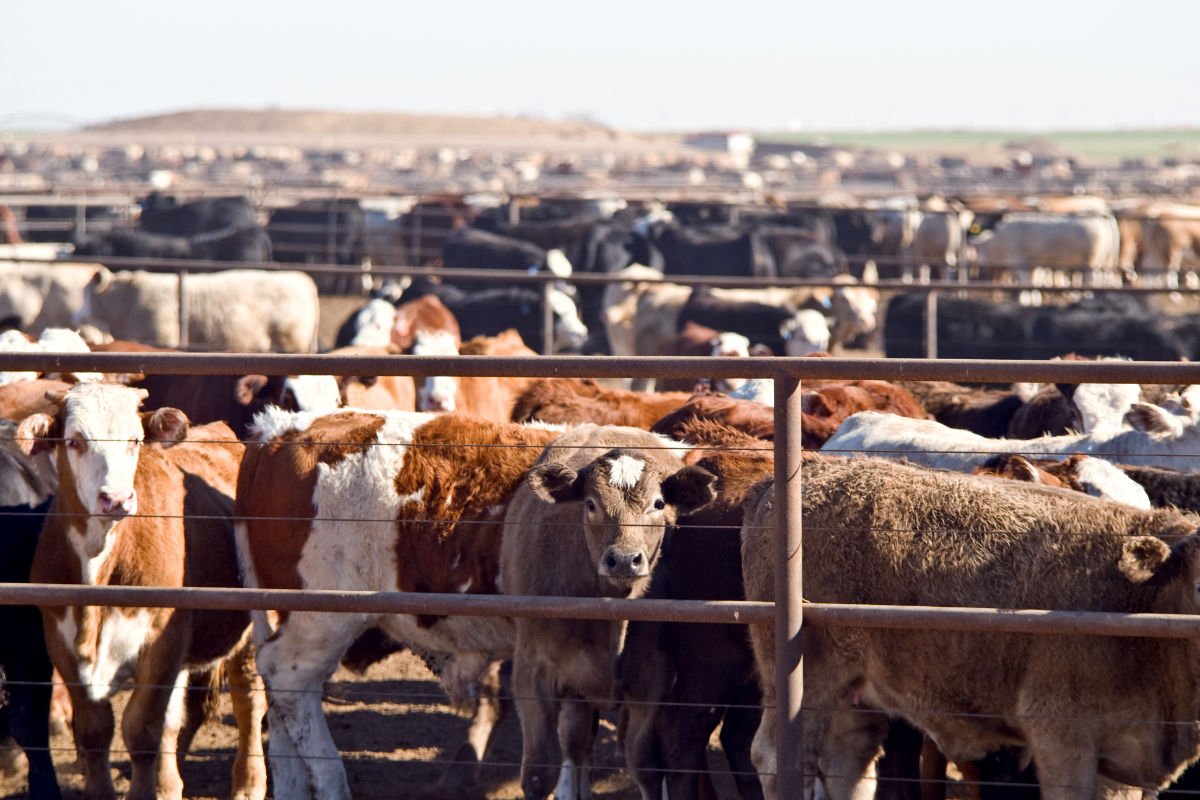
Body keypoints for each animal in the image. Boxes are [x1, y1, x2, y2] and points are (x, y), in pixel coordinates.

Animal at [19, 383, 266, 800]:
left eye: (134, 440)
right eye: (74, 440)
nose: (116, 499)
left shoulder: (162, 641)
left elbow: (142, 729)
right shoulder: (59, 640)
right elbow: (95, 730)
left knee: (248, 700)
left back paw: (248, 784)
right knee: (176, 717)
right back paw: (170, 783)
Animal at [499, 425, 719, 799]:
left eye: (659, 504)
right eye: (591, 504)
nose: (625, 560)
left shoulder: (651, 680)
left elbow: (645, 766)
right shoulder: (531, 671)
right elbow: (540, 773)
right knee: (574, 744)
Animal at [741, 456, 1200, 800]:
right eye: (1197, 582)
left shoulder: (1120, 762)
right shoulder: (1061, 737)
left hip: (853, 693)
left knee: (849, 763)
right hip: (808, 681)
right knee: (779, 759)